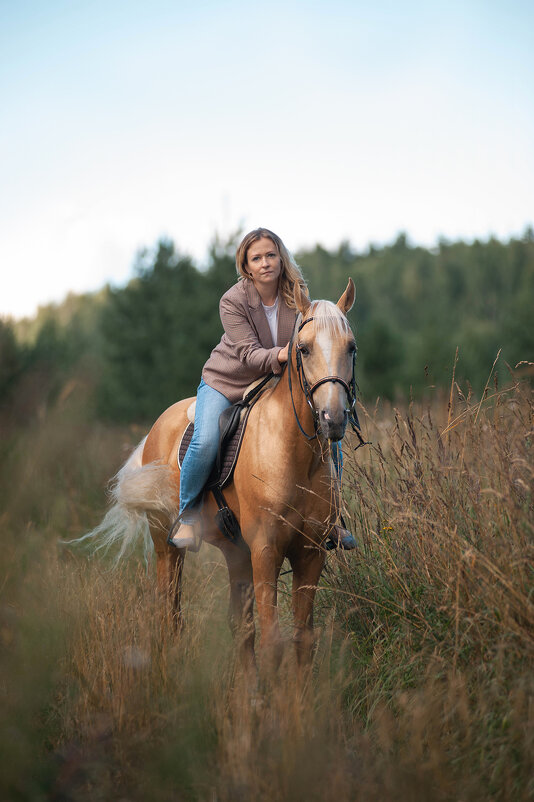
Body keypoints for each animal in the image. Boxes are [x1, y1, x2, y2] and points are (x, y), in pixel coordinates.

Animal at [90, 278, 358, 664]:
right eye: (304, 349)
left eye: (351, 348)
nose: (332, 419)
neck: (294, 455)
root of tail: (159, 425)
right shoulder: (265, 550)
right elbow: (272, 641)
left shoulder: (311, 553)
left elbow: (302, 640)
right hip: (166, 544)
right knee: (170, 612)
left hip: (236, 553)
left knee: (239, 626)